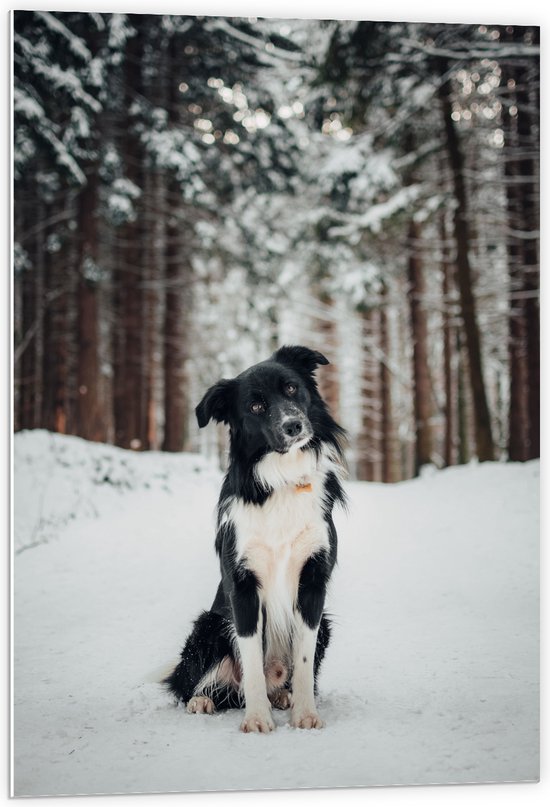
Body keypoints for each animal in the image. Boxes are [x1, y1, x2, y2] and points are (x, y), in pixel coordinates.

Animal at [164, 346, 348, 732]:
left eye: (291, 388)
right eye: (256, 406)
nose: (293, 426)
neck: (283, 479)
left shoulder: (312, 583)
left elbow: (304, 662)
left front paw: (305, 714)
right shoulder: (242, 586)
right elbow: (250, 661)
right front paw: (257, 719)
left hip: (324, 624)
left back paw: (282, 695)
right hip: (210, 625)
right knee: (196, 686)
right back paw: (202, 701)